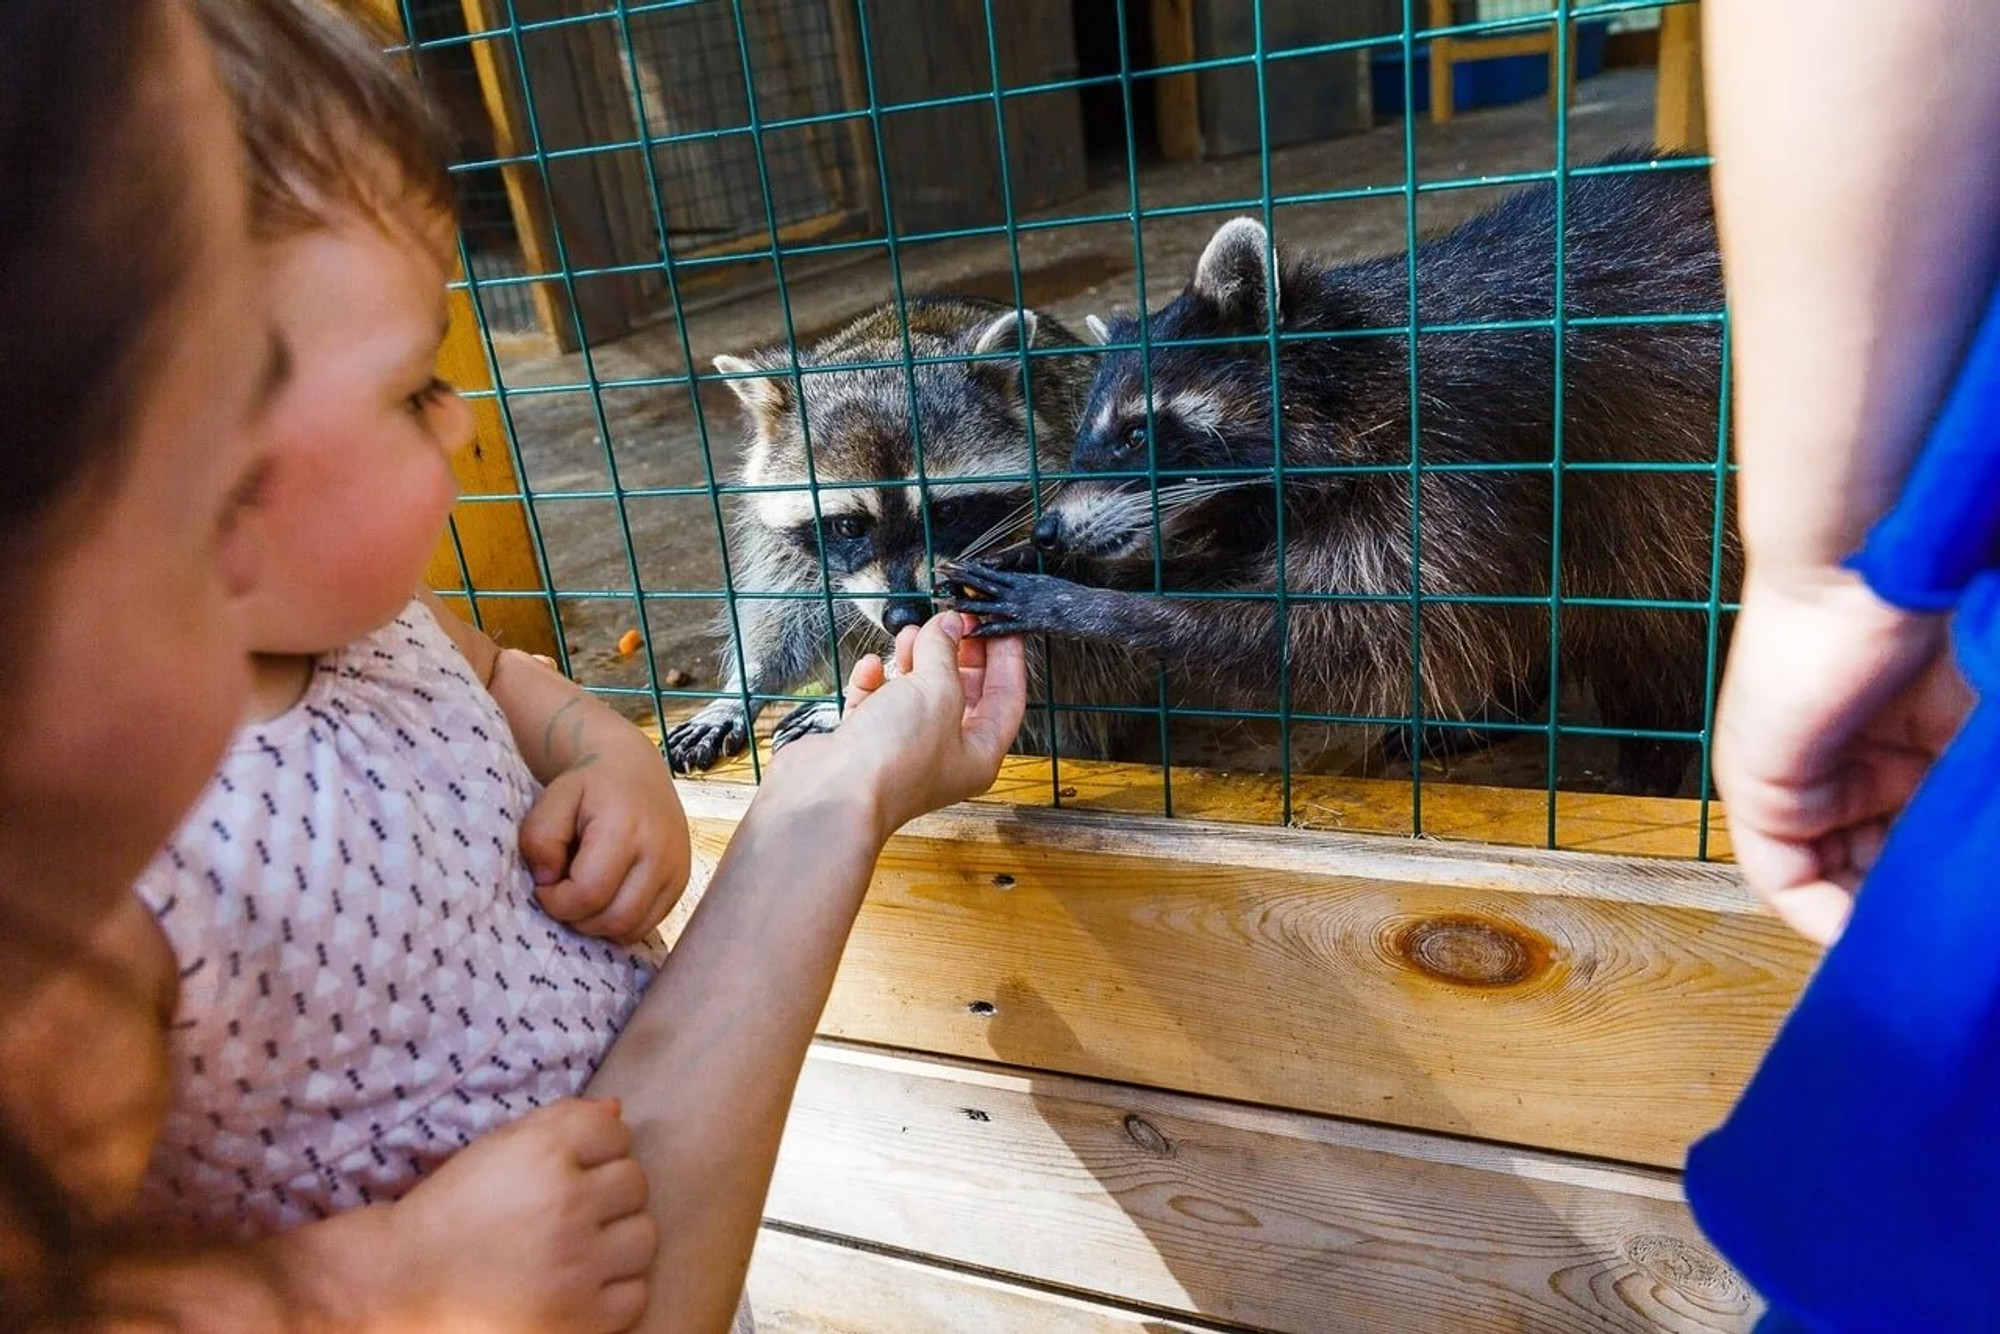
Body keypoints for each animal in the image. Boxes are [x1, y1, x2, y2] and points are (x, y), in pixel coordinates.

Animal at [668, 292, 1144, 772]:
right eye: (848, 526)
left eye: (946, 513)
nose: (904, 617)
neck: (896, 345)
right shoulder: (782, 534)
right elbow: (784, 612)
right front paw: (744, 685)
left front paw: (880, 684)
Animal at [936, 159, 1736, 792]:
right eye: (1083, 438)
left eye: (1137, 433)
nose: (1048, 527)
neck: (1357, 372)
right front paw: (1084, 569)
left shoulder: (1457, 459)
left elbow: (1341, 634)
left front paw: (1087, 605)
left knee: (1653, 624)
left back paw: (1651, 763)